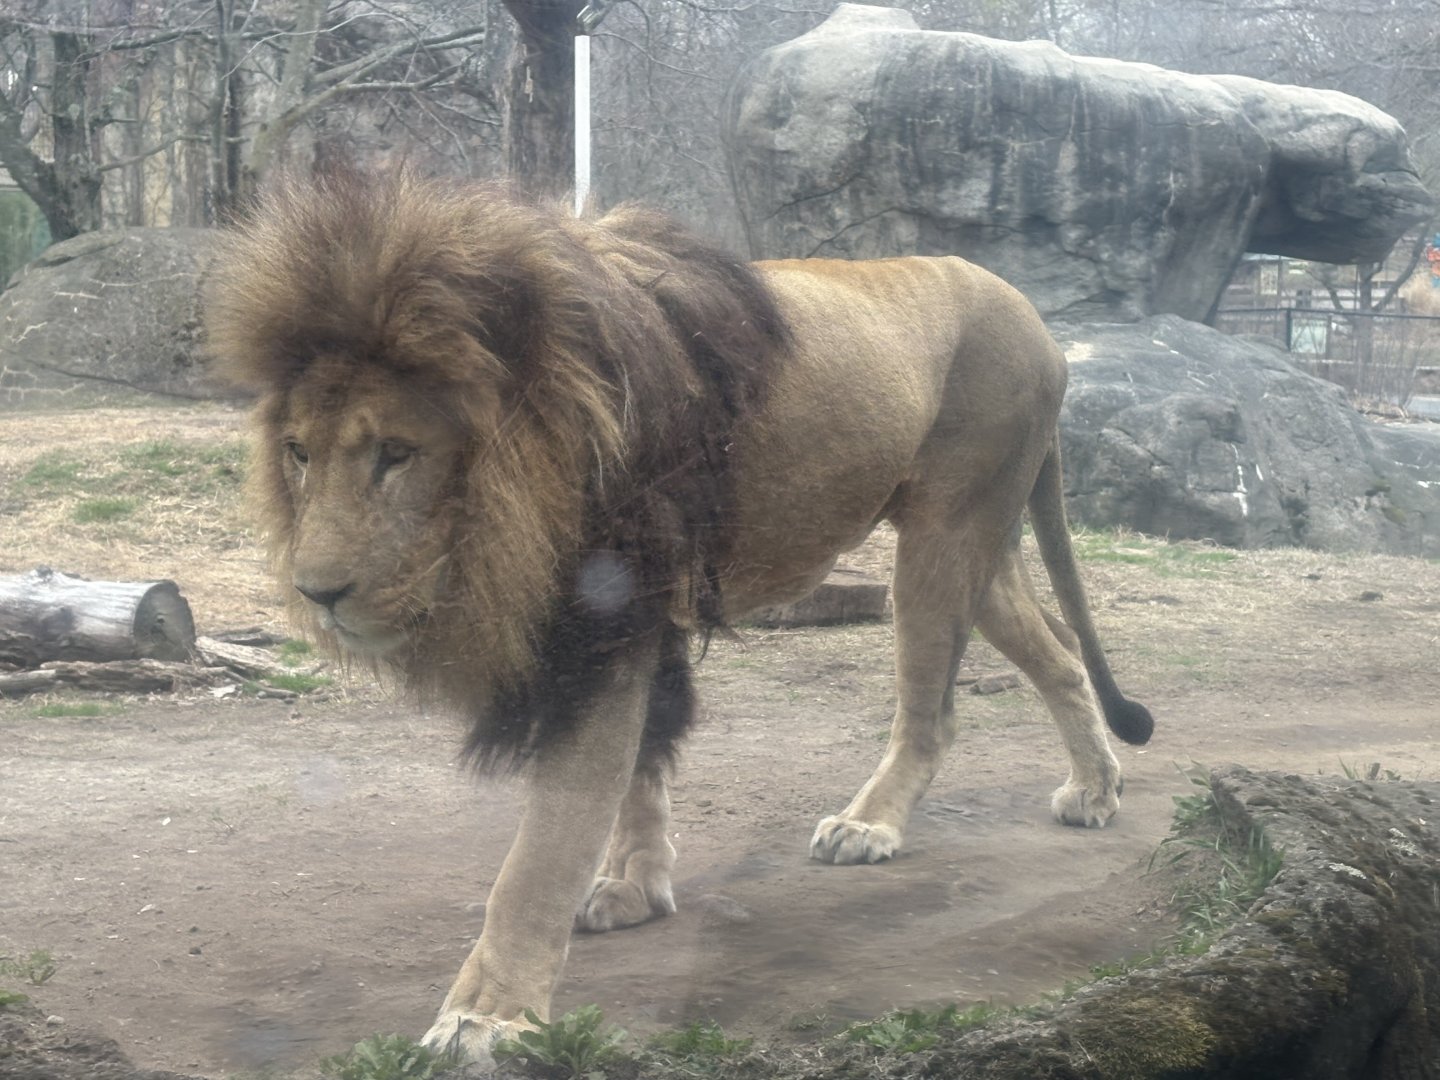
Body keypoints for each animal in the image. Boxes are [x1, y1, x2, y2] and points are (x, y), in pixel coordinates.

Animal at [206, 169, 1153, 1062]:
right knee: (1060, 652)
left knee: (936, 710)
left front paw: (486, 1014)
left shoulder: (601, 620)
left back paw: (870, 824)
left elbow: (543, 849)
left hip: (944, 536)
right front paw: (634, 887)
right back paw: (1096, 788)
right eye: (298, 454)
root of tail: (1035, 318)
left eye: (395, 455)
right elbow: (641, 764)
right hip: (971, 545)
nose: (315, 592)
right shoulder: (635, 614)